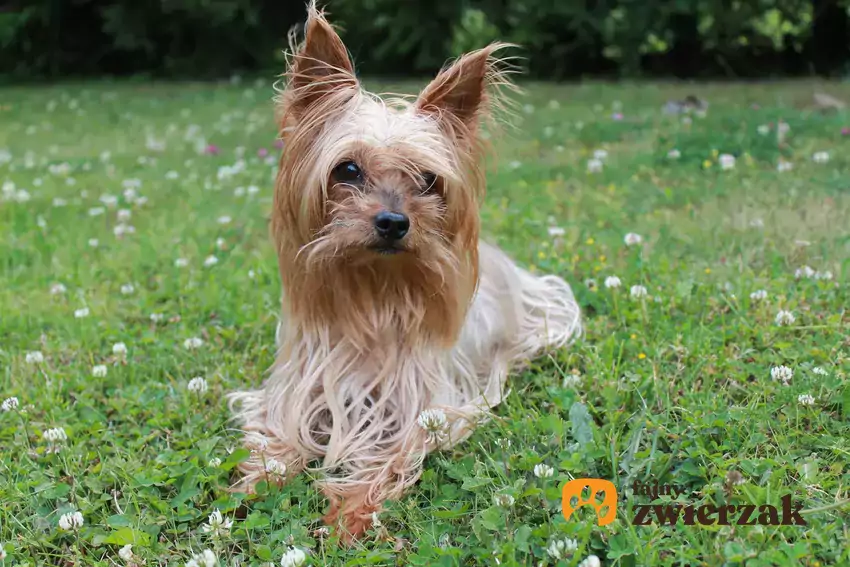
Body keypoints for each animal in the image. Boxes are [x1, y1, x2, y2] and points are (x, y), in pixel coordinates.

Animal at [229, 2, 580, 544]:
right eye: (347, 170)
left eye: (429, 180)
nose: (394, 222)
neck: (375, 290)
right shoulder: (300, 385)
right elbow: (280, 431)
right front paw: (259, 483)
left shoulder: (424, 408)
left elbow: (389, 455)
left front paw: (350, 513)